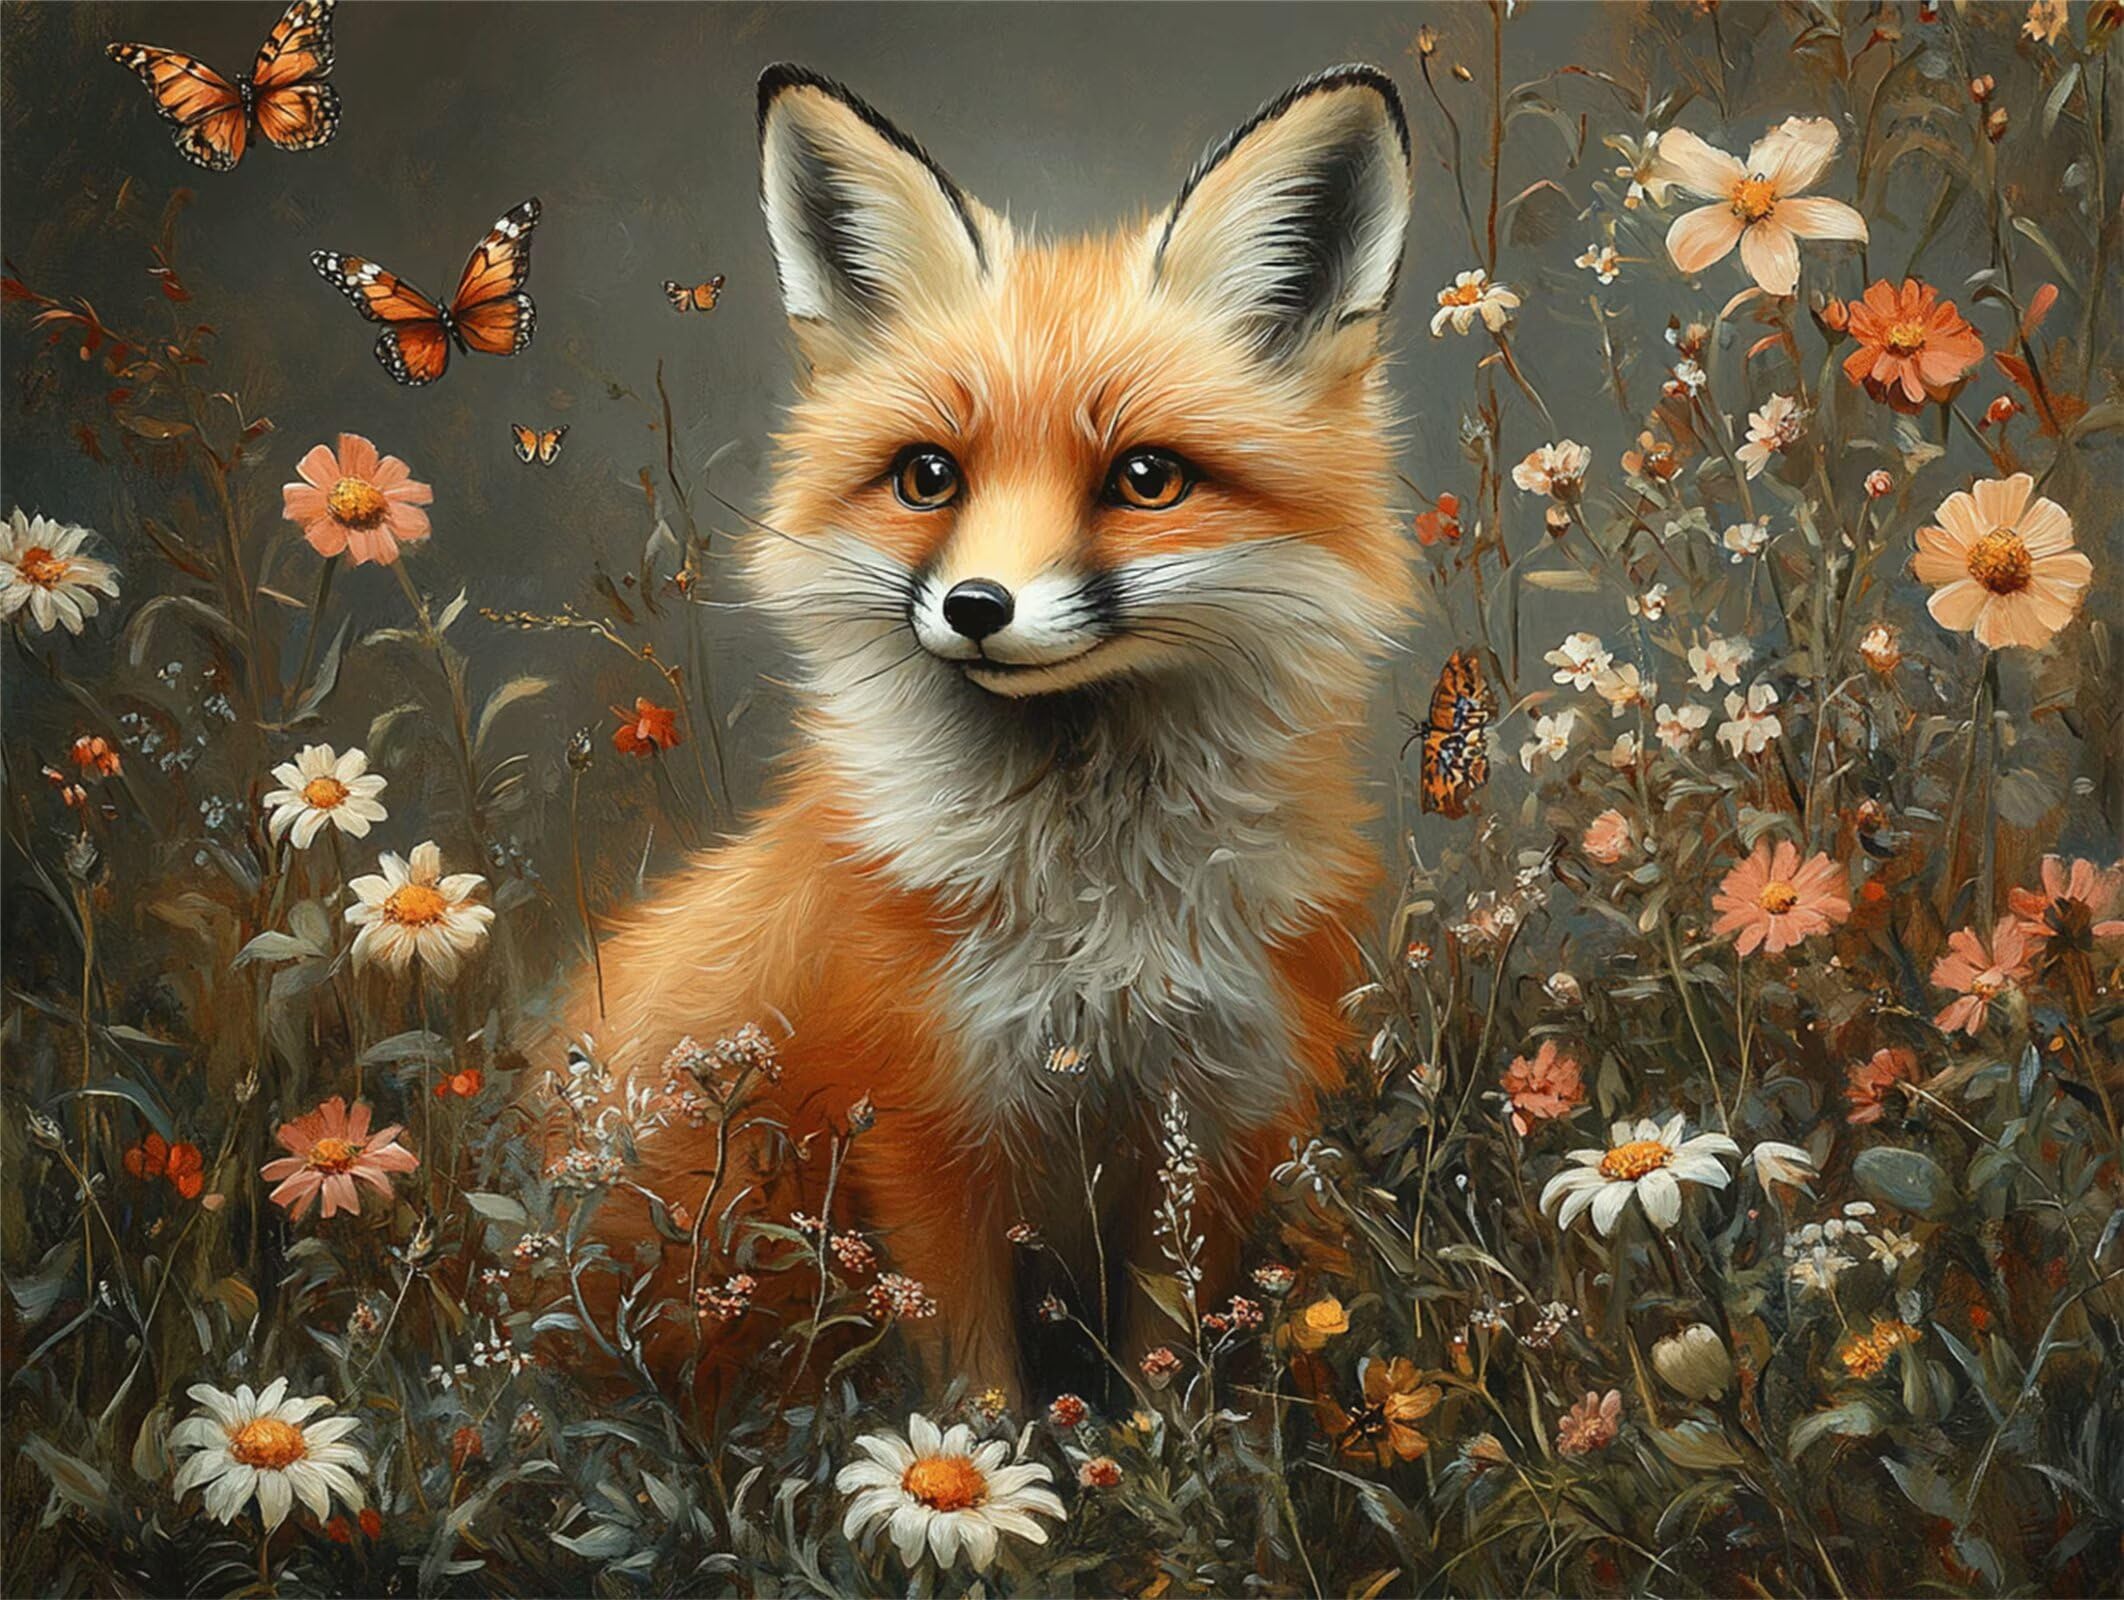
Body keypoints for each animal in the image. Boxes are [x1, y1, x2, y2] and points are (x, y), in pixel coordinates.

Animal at [564, 61, 1416, 1401]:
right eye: (929, 476)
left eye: (1147, 479)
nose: (974, 609)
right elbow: (980, 1393)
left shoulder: (1215, 1120)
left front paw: (1156, 1457)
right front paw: (979, 1470)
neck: (1097, 922)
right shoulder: (921, 1128)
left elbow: (1158, 1370)